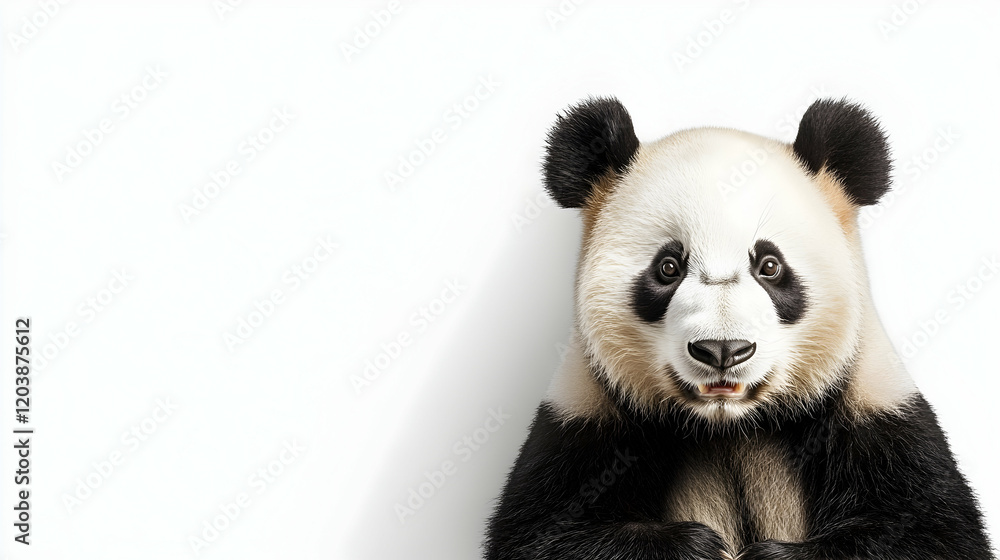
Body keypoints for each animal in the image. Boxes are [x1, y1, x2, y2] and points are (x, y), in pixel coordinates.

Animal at [484, 97, 993, 559]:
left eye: (769, 265)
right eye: (668, 267)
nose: (722, 350)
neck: (731, 426)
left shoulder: (875, 409)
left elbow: (929, 532)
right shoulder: (586, 415)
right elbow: (544, 534)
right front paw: (695, 547)